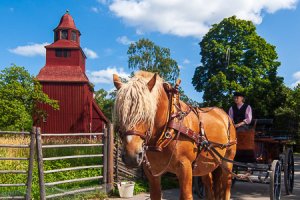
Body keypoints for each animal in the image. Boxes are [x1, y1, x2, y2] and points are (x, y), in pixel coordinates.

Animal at [112, 71, 237, 199]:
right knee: (209, 186)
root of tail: (224, 115)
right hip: (206, 165)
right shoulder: (152, 173)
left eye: (147, 114)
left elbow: (186, 195)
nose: (131, 157)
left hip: (227, 162)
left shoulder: (185, 168)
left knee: (226, 187)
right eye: (121, 114)